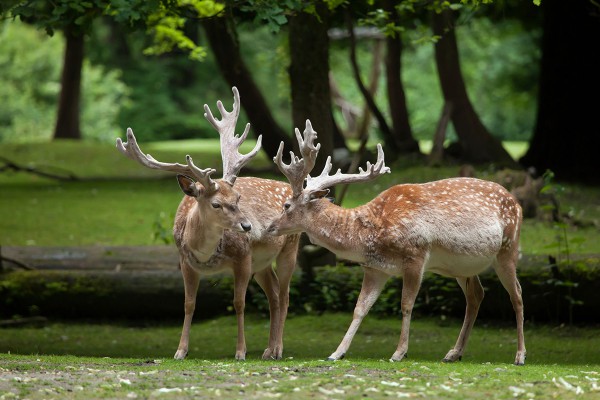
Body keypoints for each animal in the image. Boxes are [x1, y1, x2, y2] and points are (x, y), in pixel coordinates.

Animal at [114, 88, 298, 362]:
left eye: (238, 198)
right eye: (216, 204)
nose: (248, 227)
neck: (205, 254)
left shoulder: (243, 258)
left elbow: (239, 303)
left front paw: (240, 351)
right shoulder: (185, 262)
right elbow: (189, 304)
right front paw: (180, 350)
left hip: (290, 246)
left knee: (285, 295)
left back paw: (277, 349)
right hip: (262, 263)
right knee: (274, 293)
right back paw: (267, 349)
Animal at [268, 119, 524, 366]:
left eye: (286, 205)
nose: (270, 227)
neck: (371, 235)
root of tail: (517, 203)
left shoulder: (416, 256)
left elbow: (406, 305)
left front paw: (399, 353)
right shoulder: (375, 268)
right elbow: (360, 308)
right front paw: (336, 353)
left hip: (508, 247)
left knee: (517, 295)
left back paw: (519, 356)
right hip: (462, 267)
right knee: (476, 295)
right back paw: (453, 353)